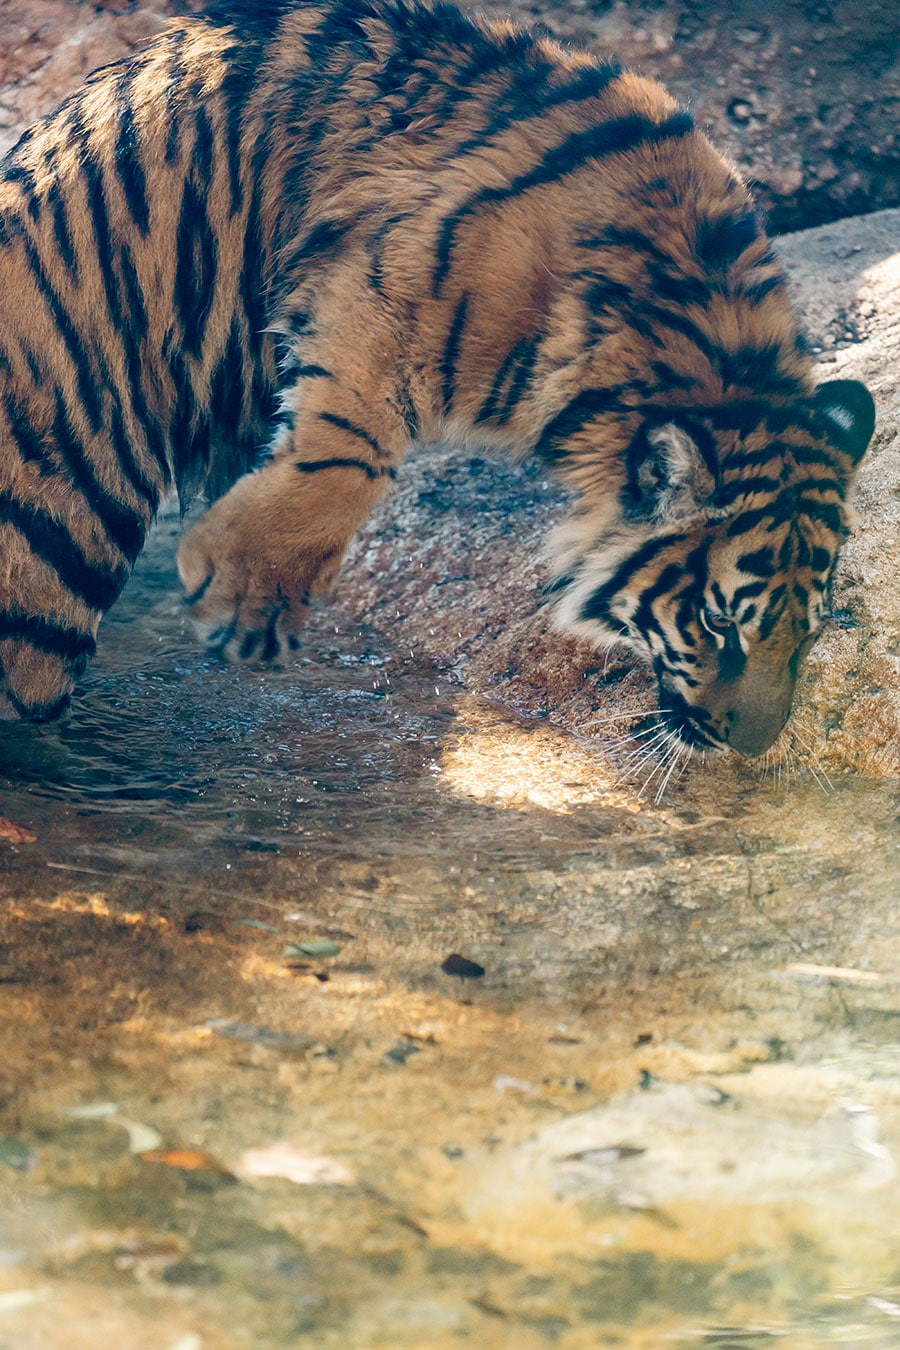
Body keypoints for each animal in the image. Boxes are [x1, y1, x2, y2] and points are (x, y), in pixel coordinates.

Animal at [0, 0, 874, 761]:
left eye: (810, 631)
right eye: (721, 626)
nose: (754, 747)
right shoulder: (380, 289)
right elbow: (346, 453)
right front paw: (244, 598)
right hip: (65, 532)